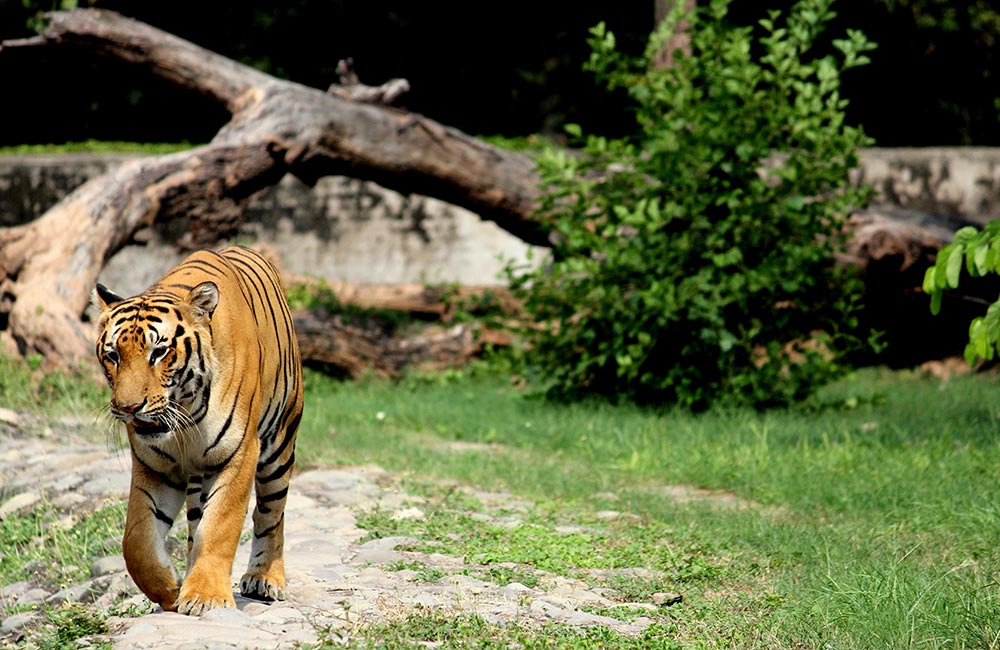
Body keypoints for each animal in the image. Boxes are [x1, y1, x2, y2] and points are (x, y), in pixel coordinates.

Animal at [94, 243, 304, 612]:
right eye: (113, 355)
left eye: (159, 352)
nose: (129, 408)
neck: (186, 414)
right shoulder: (154, 468)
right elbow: (137, 541)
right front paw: (171, 590)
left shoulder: (238, 455)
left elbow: (220, 527)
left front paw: (206, 595)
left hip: (279, 446)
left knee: (270, 515)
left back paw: (265, 578)